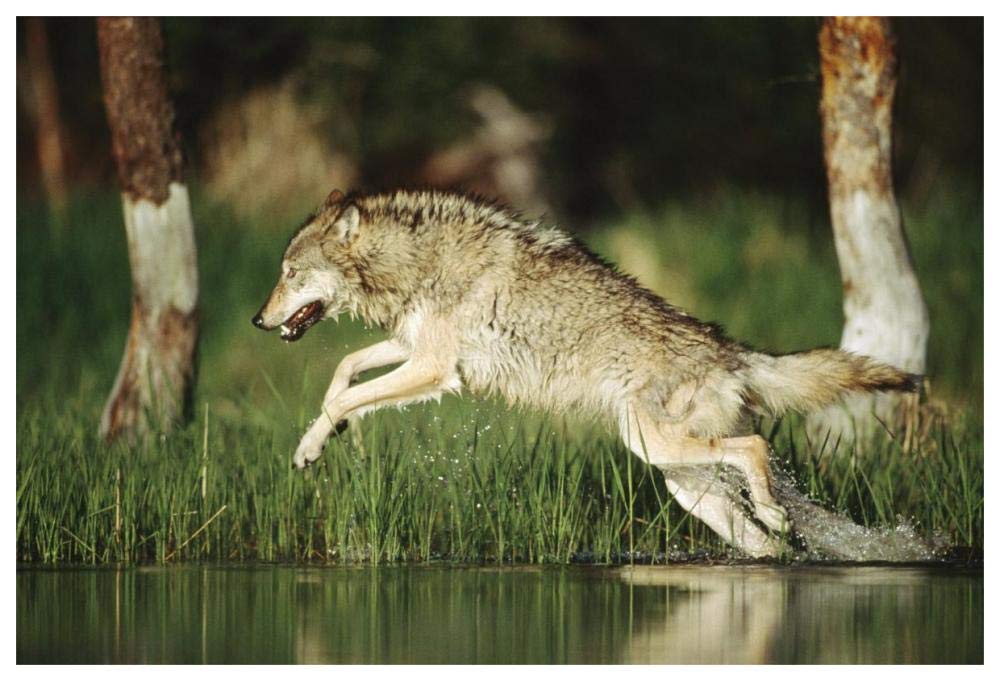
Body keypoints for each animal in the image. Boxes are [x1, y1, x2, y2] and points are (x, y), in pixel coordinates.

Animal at [252, 188, 920, 557]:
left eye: (289, 273)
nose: (258, 320)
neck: (416, 262)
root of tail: (731, 353)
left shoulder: (436, 369)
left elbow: (344, 396)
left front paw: (317, 440)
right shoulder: (414, 349)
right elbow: (345, 371)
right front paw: (320, 439)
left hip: (658, 448)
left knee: (755, 449)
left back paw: (776, 510)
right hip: (681, 479)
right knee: (764, 540)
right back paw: (775, 536)